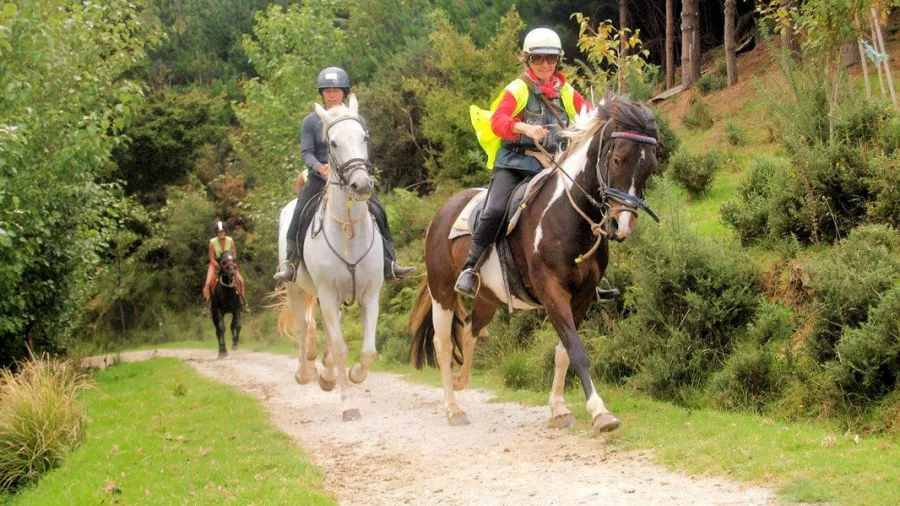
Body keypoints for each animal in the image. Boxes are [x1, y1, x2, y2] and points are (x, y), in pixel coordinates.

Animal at [277, 95, 384, 421]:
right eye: (332, 143)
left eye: (364, 137)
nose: (362, 185)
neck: (348, 230)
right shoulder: (326, 293)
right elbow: (339, 348)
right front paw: (348, 404)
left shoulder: (370, 294)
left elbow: (368, 351)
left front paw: (354, 375)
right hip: (296, 290)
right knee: (303, 329)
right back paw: (305, 372)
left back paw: (325, 374)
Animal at [409, 93, 659, 431]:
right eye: (618, 159)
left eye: (650, 167)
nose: (623, 226)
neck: (567, 214)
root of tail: (442, 211)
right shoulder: (553, 291)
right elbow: (576, 350)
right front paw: (600, 412)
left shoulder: (583, 295)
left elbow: (563, 352)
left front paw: (560, 409)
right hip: (443, 292)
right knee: (444, 343)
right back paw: (453, 408)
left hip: (488, 298)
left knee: (471, 329)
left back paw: (462, 381)